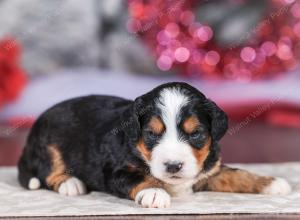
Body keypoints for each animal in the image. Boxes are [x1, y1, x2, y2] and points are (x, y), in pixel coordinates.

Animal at [18, 82, 290, 208]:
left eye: (196, 133)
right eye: (151, 134)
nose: (173, 165)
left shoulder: (209, 169)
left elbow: (236, 174)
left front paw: (272, 182)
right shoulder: (116, 170)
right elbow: (140, 178)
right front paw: (155, 193)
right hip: (49, 143)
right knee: (48, 172)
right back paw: (71, 183)